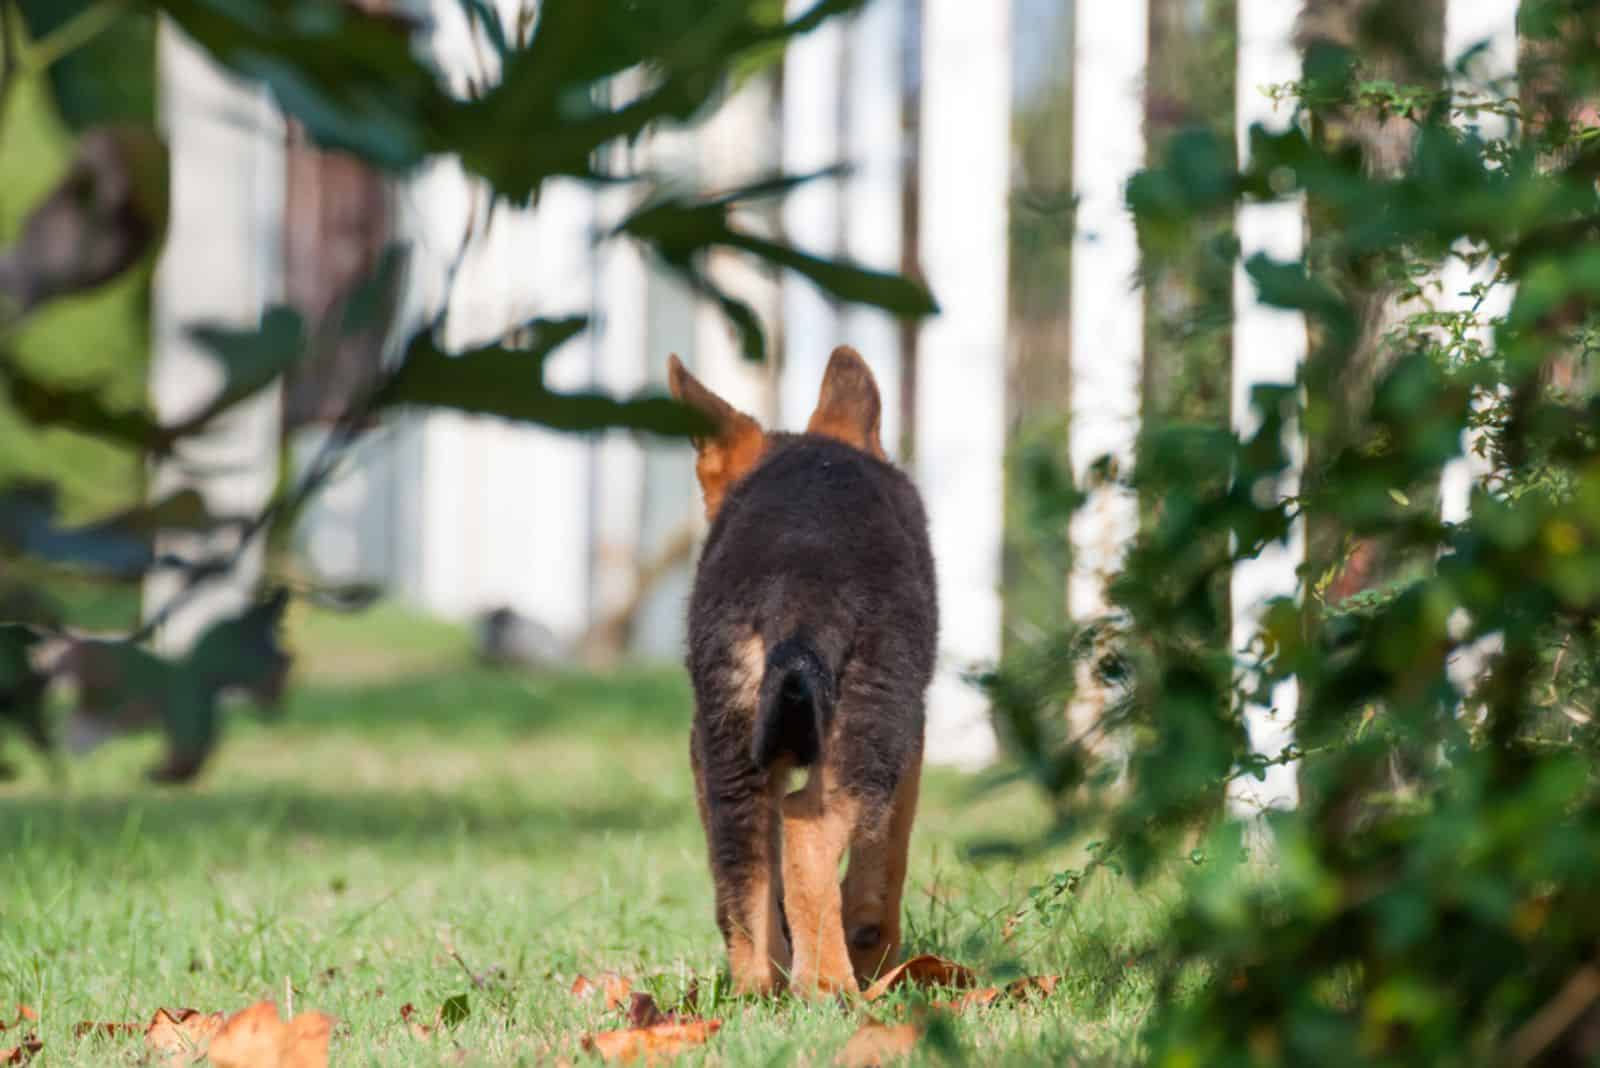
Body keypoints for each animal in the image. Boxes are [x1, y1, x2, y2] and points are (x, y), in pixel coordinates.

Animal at [665, 346, 934, 997]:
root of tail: (795, 582)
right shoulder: (911, 739)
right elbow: (884, 864)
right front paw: (874, 951)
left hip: (728, 742)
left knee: (741, 869)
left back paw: (760, 987)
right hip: (874, 732)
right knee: (806, 828)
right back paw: (831, 986)